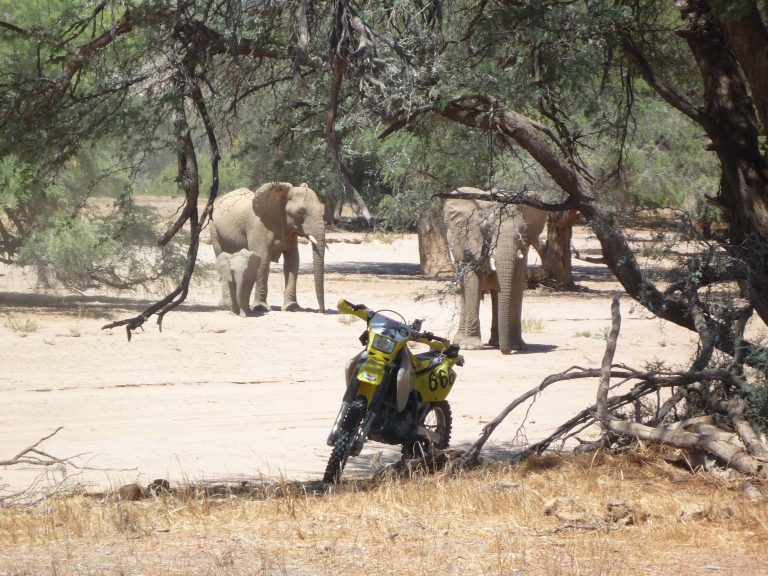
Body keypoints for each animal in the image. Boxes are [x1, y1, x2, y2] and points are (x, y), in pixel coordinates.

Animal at [210, 182, 326, 313]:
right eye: (301, 211)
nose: (320, 311)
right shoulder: (259, 228)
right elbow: (263, 260)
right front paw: (260, 308)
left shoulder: (290, 231)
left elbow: (292, 261)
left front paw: (291, 307)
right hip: (214, 229)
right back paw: (227, 306)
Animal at [443, 187, 547, 354]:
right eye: (488, 229)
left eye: (523, 230)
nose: (507, 351)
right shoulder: (470, 238)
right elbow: (473, 281)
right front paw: (471, 347)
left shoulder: (524, 245)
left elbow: (517, 284)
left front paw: (518, 346)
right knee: (464, 288)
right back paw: (459, 341)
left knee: (496, 295)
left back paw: (496, 343)